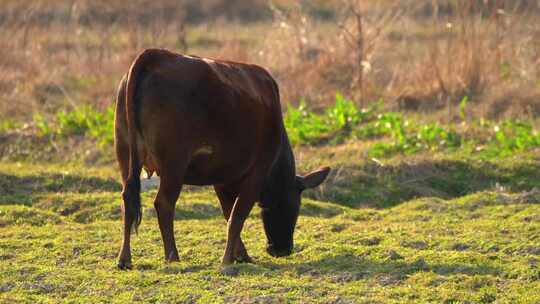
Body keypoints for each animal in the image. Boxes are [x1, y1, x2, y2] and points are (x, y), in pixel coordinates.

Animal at [116, 48, 332, 270]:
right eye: (294, 207)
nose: (283, 250)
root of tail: (156, 56)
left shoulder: (222, 178)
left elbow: (229, 213)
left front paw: (241, 255)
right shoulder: (257, 172)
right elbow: (237, 216)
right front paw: (228, 259)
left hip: (126, 156)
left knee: (127, 200)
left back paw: (124, 258)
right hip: (174, 165)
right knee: (164, 204)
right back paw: (172, 256)